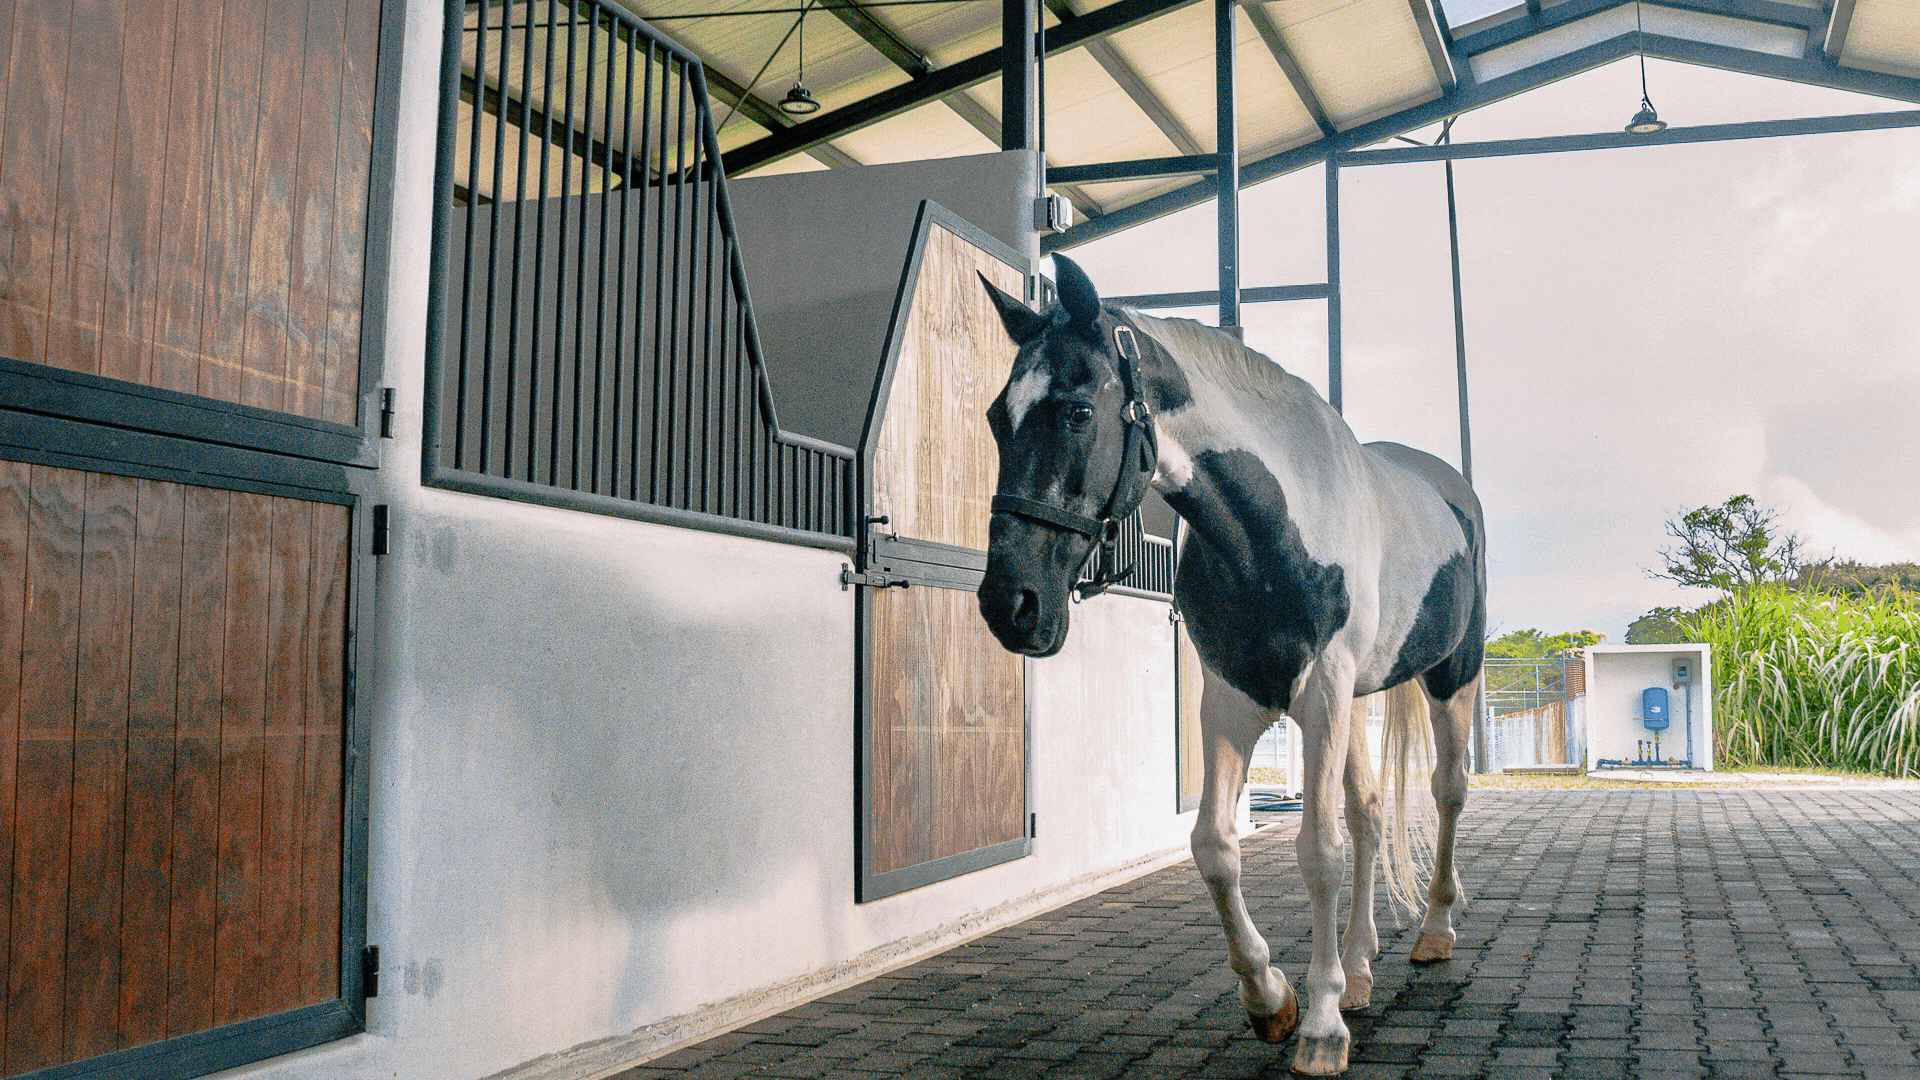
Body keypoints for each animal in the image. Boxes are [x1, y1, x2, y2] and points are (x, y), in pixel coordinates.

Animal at [974, 255, 1486, 1075]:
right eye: (998, 416)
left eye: (1077, 412)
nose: (1009, 603)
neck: (1273, 526)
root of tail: (1449, 489)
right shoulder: (1232, 700)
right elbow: (1215, 845)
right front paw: (1272, 999)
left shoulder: (1322, 694)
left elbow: (1319, 851)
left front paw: (1318, 1026)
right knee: (1371, 813)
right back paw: (1360, 969)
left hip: (1451, 677)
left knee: (1446, 791)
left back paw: (1434, 932)